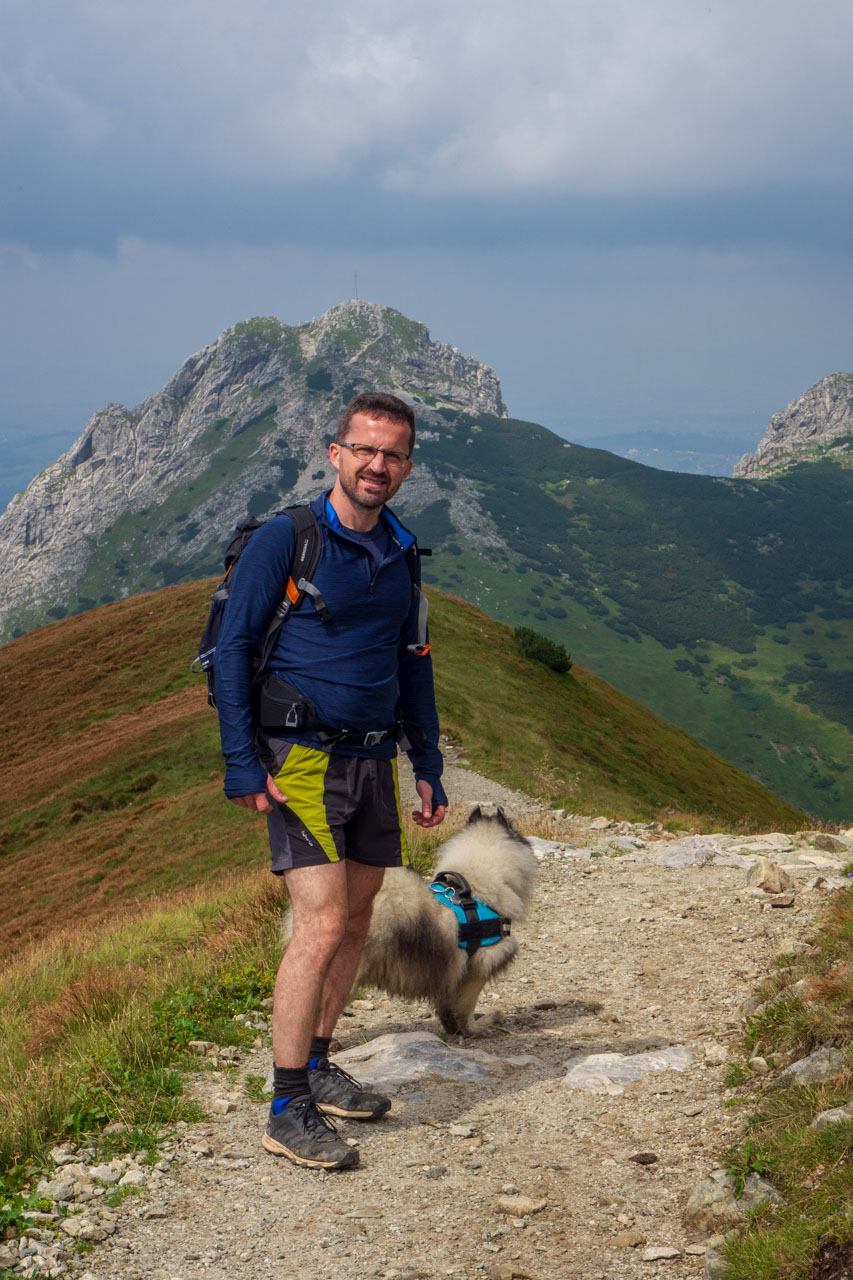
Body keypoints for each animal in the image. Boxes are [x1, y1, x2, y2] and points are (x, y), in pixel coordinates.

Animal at [350, 808, 535, 1039]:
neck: (475, 890)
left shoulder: (450, 969)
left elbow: (447, 1005)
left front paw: (452, 1029)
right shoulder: (479, 965)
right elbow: (466, 1007)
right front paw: (476, 1028)